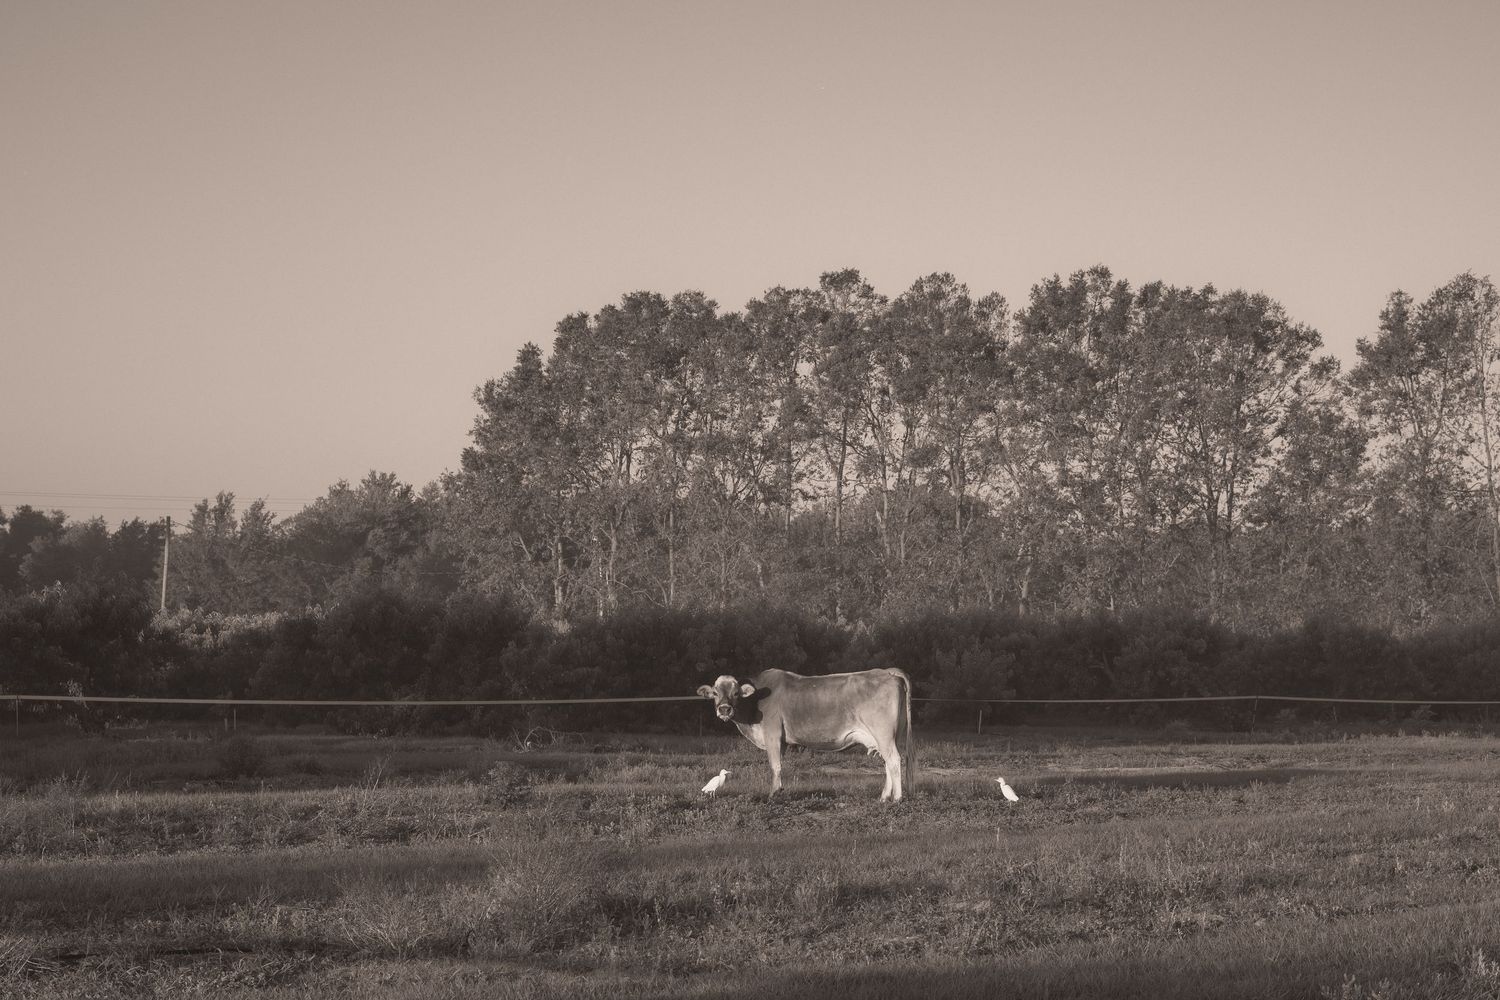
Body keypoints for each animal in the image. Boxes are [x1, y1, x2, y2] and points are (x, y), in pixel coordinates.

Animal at [696, 668, 915, 801]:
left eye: (735, 693)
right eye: (715, 693)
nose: (724, 709)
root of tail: (887, 672)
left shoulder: (772, 734)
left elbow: (775, 766)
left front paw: (773, 794)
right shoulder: (781, 741)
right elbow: (779, 765)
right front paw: (779, 791)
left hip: (884, 734)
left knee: (894, 760)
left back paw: (896, 798)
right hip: (889, 736)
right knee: (888, 763)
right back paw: (883, 797)